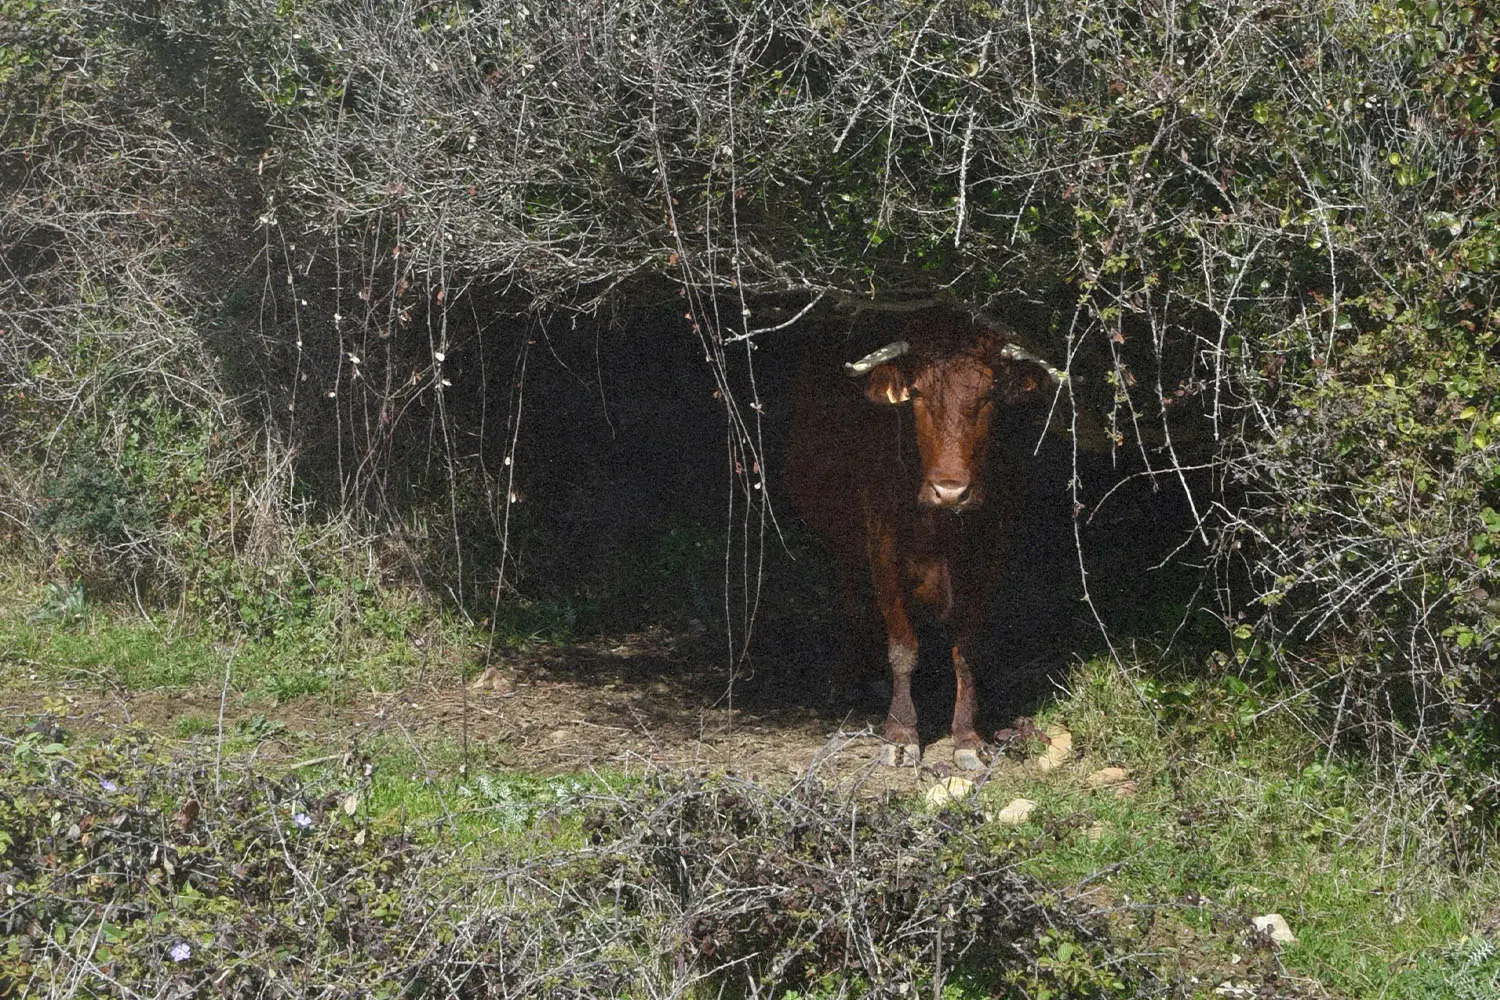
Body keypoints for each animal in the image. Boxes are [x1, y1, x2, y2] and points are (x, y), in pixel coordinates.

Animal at [786, 310, 1062, 770]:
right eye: (916, 392)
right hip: (843, 547)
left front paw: (967, 737)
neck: (943, 530)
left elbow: (966, 651)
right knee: (853, 606)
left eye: (990, 393)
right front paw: (900, 733)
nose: (950, 490)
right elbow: (903, 647)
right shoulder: (883, 552)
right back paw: (848, 679)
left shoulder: (992, 558)